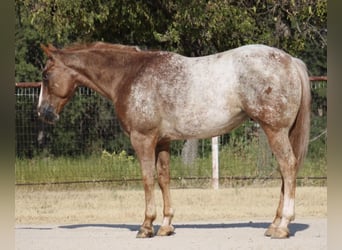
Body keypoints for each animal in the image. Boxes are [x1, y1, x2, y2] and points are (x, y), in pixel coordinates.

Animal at [36, 42, 310, 239]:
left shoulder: (143, 139)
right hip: (280, 132)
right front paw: (166, 225)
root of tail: (290, 61)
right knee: (286, 171)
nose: (42, 112)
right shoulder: (162, 141)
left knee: (288, 167)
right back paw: (274, 223)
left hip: (275, 130)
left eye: (46, 75)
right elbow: (164, 178)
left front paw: (146, 225)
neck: (130, 75)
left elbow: (147, 178)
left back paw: (282, 226)